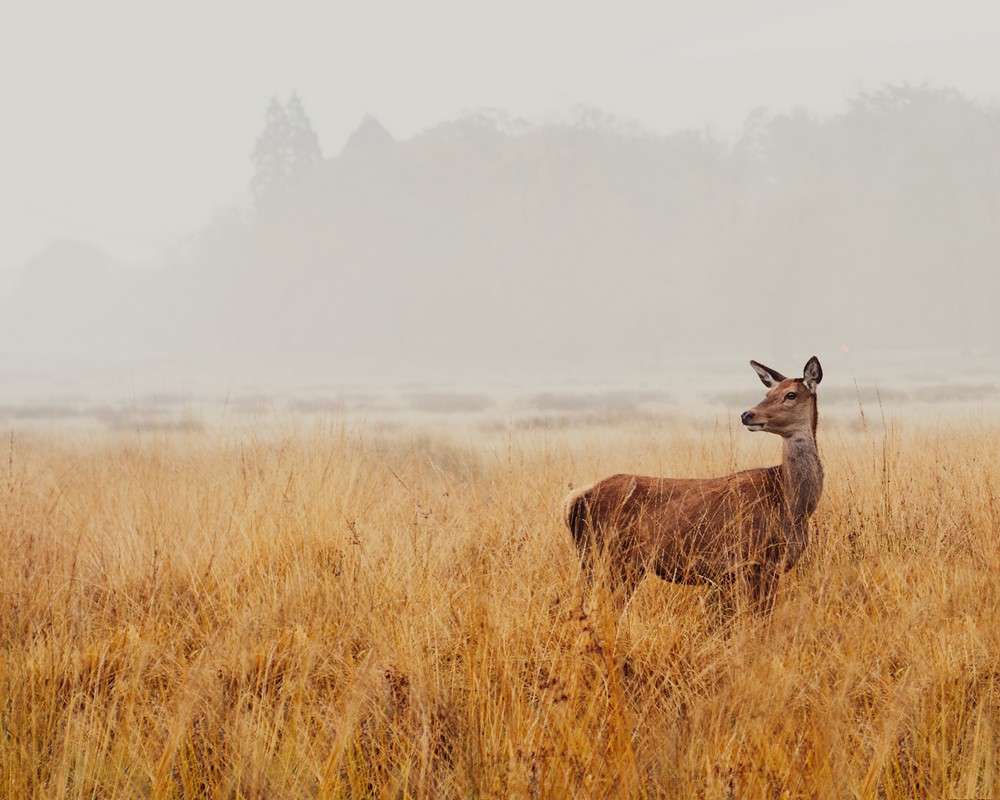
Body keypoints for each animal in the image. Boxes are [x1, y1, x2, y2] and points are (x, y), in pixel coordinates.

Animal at [568, 356, 824, 612]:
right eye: (768, 392)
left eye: (790, 394)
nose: (747, 414)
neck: (793, 507)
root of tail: (573, 501)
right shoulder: (750, 558)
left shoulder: (769, 566)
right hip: (606, 557)